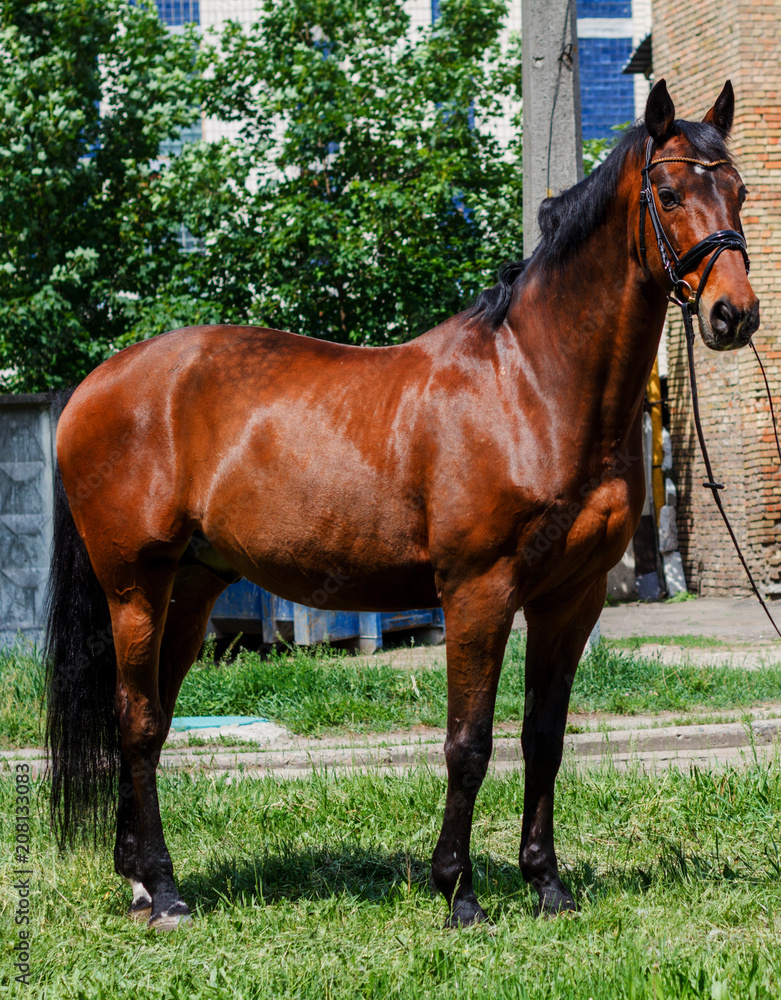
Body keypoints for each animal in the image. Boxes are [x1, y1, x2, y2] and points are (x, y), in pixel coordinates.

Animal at [45, 79, 758, 930]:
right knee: (140, 719)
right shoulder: (478, 592)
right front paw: (458, 892)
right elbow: (467, 743)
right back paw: (167, 890)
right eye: (668, 192)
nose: (732, 315)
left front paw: (547, 886)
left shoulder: (570, 597)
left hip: (190, 587)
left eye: (740, 191)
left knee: (148, 718)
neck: (532, 386)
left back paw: (139, 881)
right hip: (134, 588)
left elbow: (544, 739)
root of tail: (96, 384)